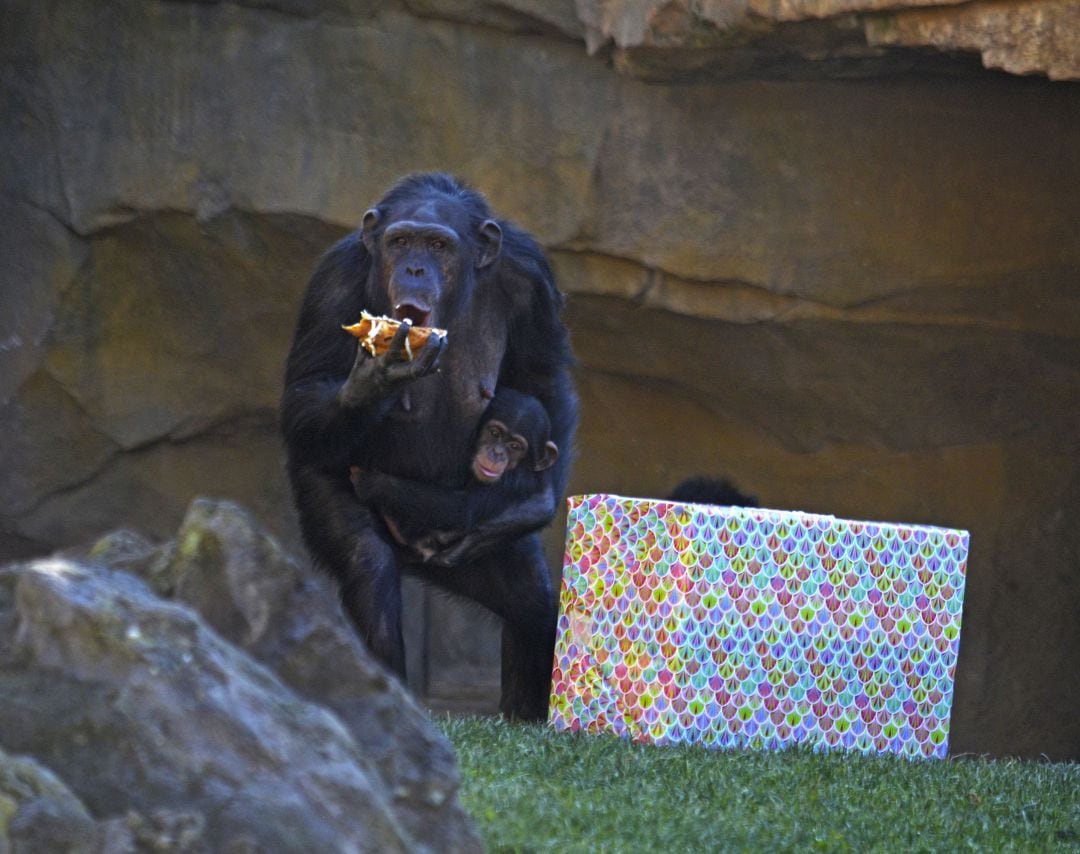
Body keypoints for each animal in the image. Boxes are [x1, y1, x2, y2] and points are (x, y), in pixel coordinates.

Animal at [352, 388, 561, 565]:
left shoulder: (513, 481)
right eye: (494, 433)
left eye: (515, 446)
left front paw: (372, 483)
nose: (497, 453)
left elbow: (462, 508)